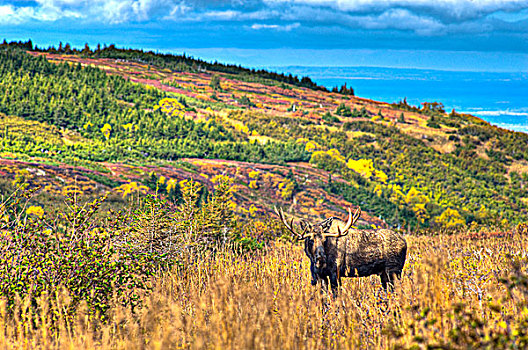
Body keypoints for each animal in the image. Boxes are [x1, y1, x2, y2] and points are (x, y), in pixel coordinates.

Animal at [276, 206, 408, 294]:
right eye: (311, 240)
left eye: (325, 239)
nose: (321, 259)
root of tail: (405, 242)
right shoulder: (320, 276)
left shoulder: (336, 273)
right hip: (384, 274)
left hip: (394, 271)